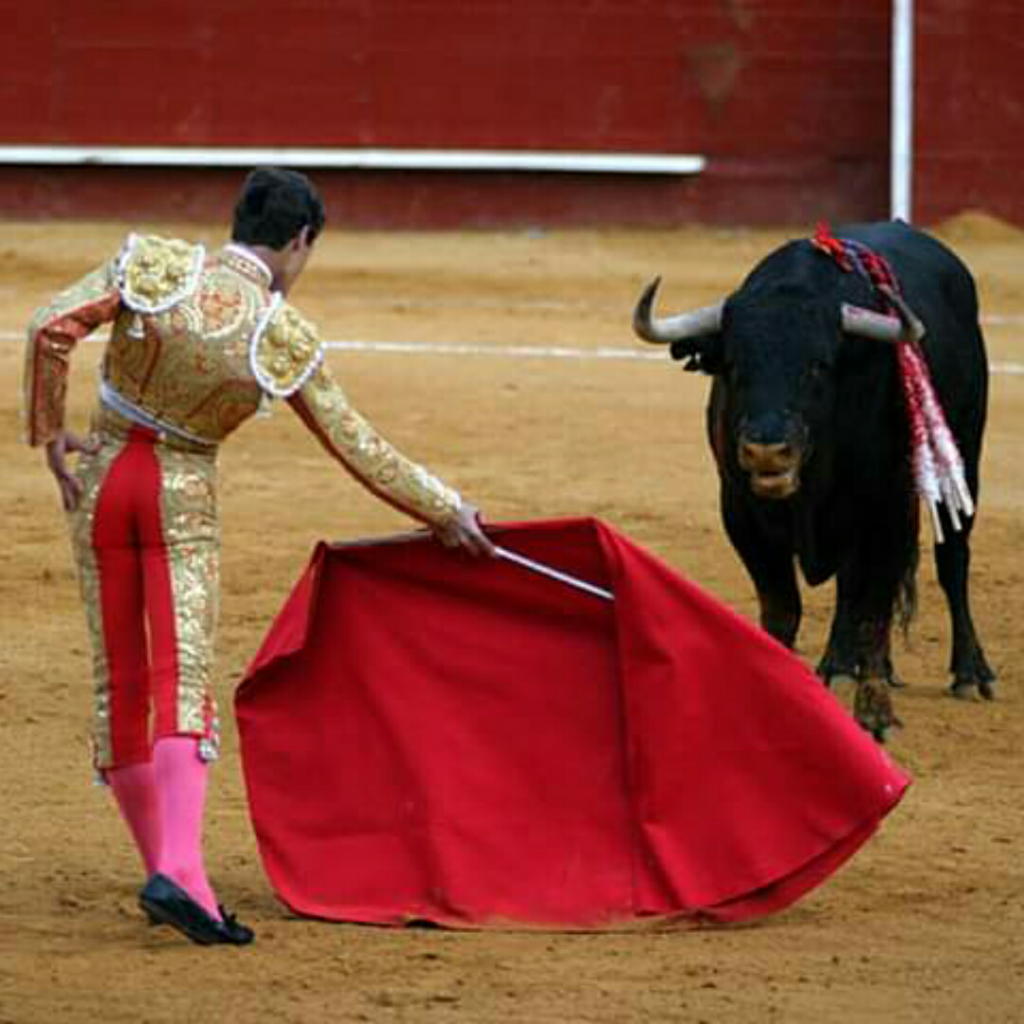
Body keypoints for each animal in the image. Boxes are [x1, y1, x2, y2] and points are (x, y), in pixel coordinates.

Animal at [630, 220, 991, 741]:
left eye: (818, 366)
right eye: (734, 366)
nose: (766, 449)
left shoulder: (888, 509)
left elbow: (875, 611)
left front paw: (877, 716)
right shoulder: (740, 512)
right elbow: (784, 610)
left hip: (964, 455)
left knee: (951, 560)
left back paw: (969, 673)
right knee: (850, 584)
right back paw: (839, 666)